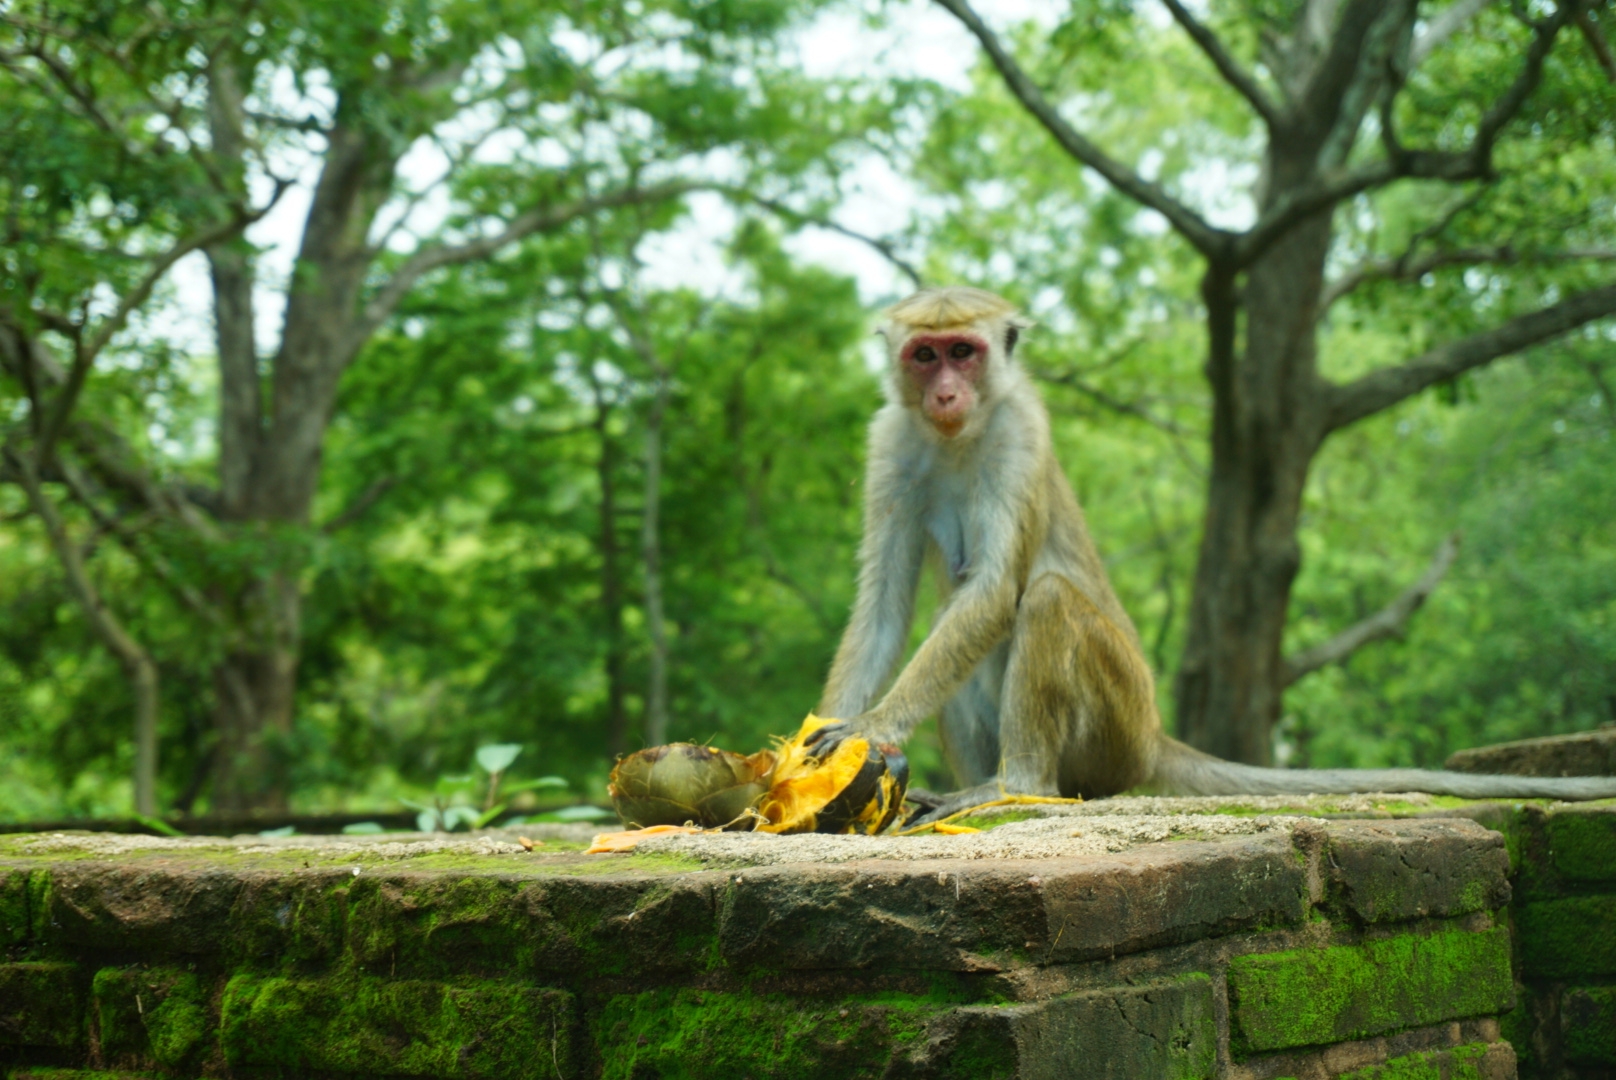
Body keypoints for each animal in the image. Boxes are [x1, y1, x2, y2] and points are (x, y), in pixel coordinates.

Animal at [814, 286, 1616, 818]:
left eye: (964, 352)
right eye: (924, 355)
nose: (946, 393)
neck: (960, 437)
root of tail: (1156, 737)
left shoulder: (1020, 432)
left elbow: (990, 595)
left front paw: (875, 726)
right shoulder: (891, 441)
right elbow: (885, 609)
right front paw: (825, 736)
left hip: (1118, 728)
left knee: (1043, 601)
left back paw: (1018, 786)